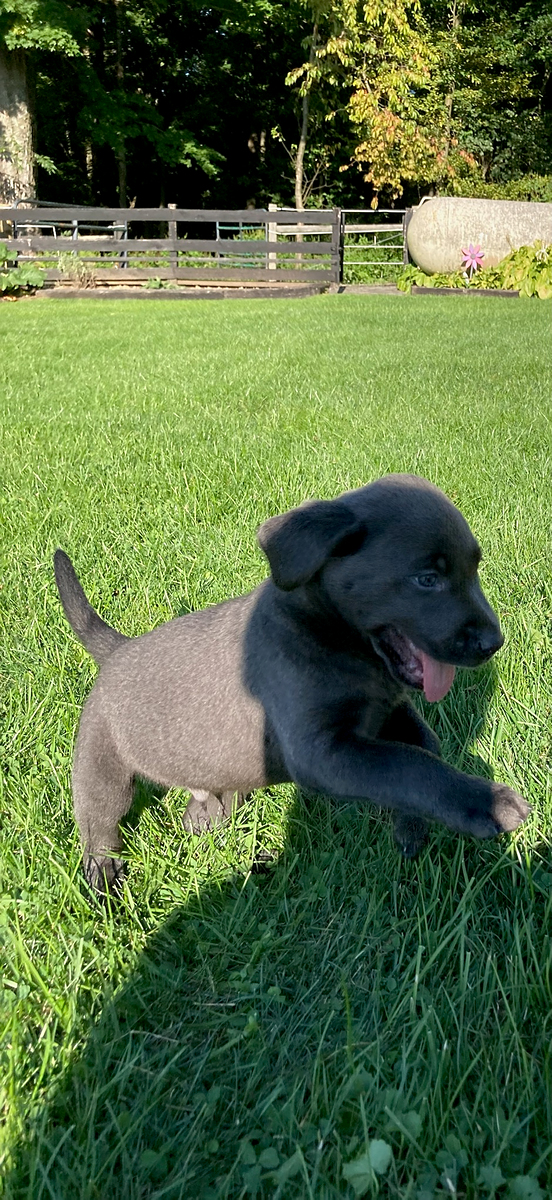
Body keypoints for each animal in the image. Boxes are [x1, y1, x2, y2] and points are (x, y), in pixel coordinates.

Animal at [54, 472, 528, 888]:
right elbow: (408, 765)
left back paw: (203, 815)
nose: (494, 642)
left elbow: (425, 748)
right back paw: (103, 877)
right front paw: (487, 803)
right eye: (427, 579)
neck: (335, 638)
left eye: (475, 568)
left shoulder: (391, 710)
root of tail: (117, 649)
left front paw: (411, 827)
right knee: (99, 825)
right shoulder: (321, 750)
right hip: (102, 765)